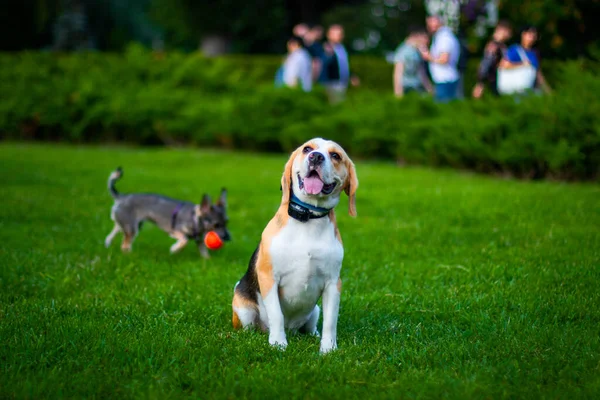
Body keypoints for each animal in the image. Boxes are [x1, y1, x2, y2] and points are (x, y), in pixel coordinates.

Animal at [232, 138, 358, 354]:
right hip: (243, 309)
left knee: (311, 325)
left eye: (335, 155)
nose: (316, 157)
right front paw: (278, 344)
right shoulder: (268, 278)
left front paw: (328, 349)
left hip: (315, 310)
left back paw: (312, 334)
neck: (308, 218)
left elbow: (331, 321)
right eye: (307, 149)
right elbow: (276, 315)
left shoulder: (333, 283)